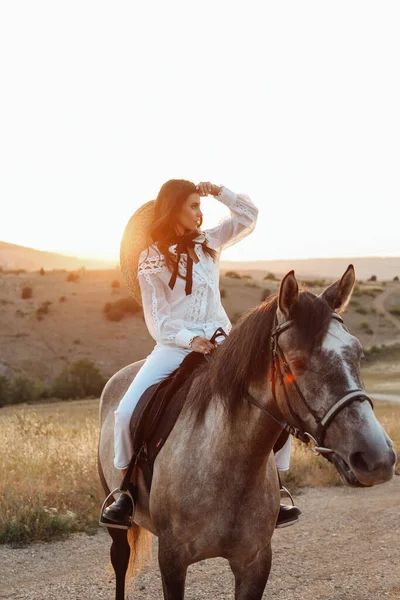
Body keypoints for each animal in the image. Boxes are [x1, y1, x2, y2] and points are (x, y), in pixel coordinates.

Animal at [98, 268, 396, 600]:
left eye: (357, 353)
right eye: (297, 361)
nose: (377, 457)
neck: (226, 462)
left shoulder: (255, 562)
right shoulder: (172, 560)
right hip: (116, 524)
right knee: (120, 561)